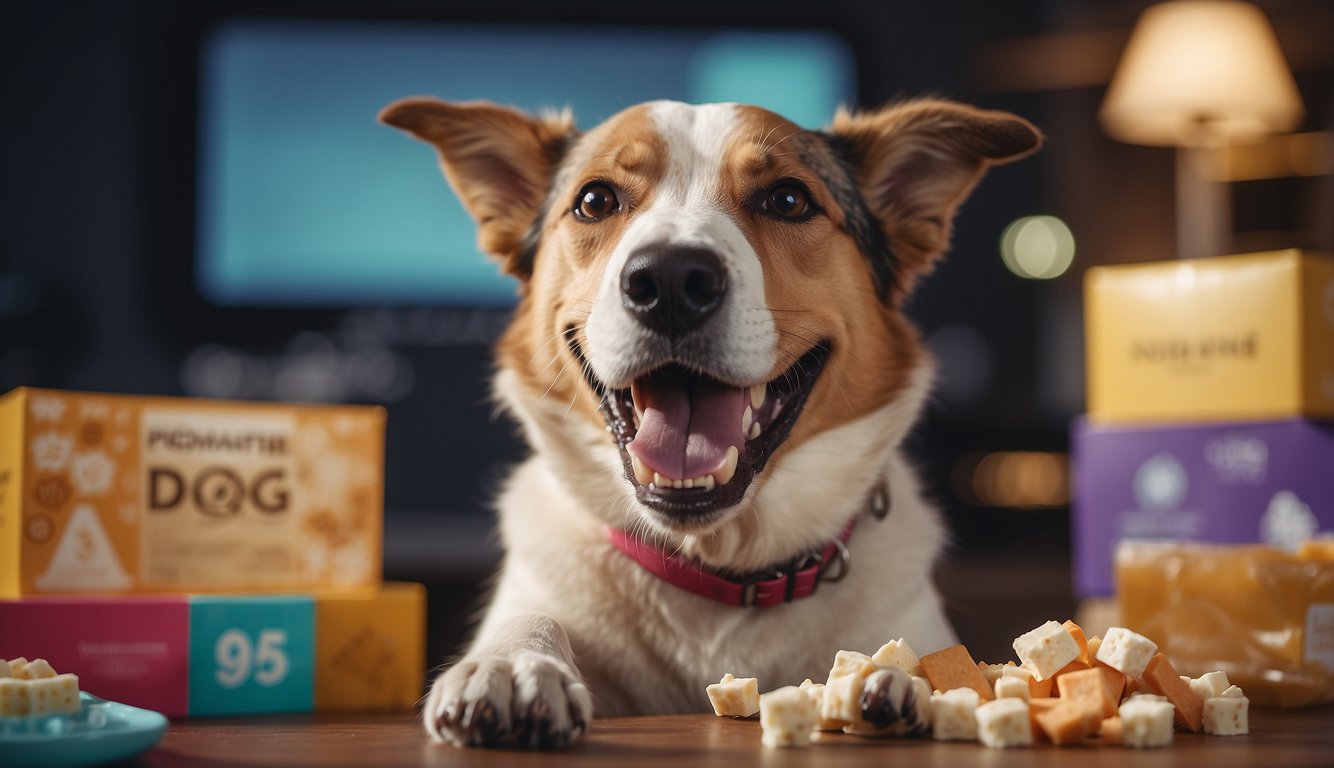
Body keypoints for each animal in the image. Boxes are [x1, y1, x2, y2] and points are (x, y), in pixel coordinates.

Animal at [381, 93, 1035, 746]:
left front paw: (896, 677)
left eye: (788, 199)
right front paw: (515, 662)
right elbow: (532, 618)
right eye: (595, 201)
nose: (670, 279)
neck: (715, 563)